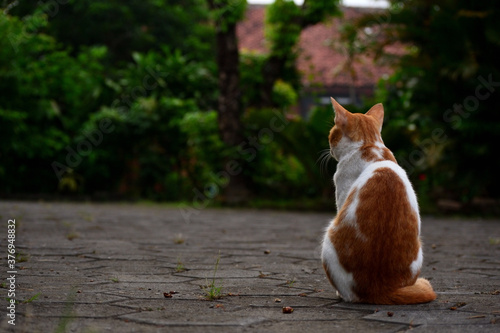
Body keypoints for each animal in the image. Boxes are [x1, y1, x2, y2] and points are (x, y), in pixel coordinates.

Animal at [322, 96, 436, 304]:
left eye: (331, 134)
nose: (330, 149)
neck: (370, 147)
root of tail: (379, 289)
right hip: (419, 254)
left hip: (328, 241)